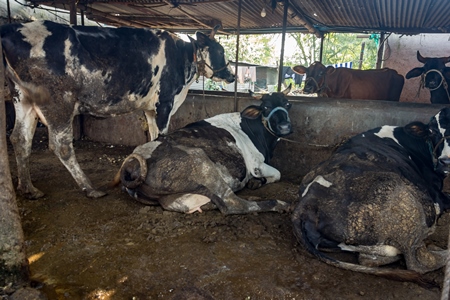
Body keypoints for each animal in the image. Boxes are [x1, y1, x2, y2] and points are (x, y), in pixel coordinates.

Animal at [1, 20, 236, 199]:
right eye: (220, 50)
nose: (232, 76)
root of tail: (13, 27)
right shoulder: (165, 102)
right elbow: (163, 136)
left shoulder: (151, 108)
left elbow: (153, 137)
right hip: (58, 103)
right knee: (62, 146)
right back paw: (90, 188)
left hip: (23, 100)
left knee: (20, 139)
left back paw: (28, 189)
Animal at [114, 85, 294, 214]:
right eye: (266, 107)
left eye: (287, 104)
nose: (285, 127)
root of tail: (131, 164)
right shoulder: (256, 165)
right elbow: (277, 173)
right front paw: (258, 181)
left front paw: (256, 182)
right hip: (202, 163)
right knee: (232, 204)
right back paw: (281, 204)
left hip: (175, 197)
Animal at [290, 107, 450, 286]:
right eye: (433, 131)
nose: (445, 162)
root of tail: (306, 202)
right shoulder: (437, 197)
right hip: (406, 205)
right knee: (418, 261)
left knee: (367, 259)